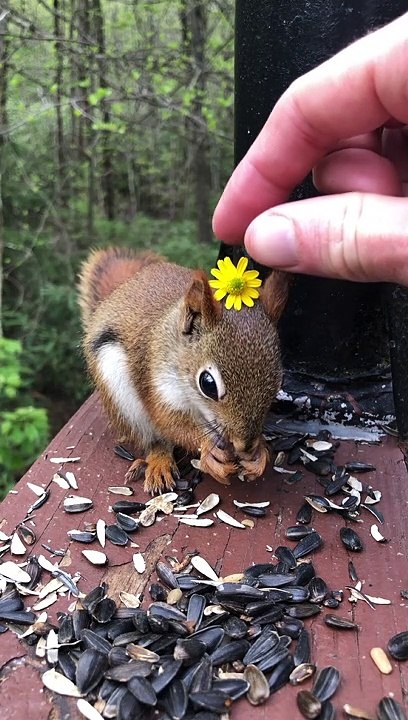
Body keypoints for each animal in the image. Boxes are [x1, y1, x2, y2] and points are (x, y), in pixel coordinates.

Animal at [78, 247, 288, 494]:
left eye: (277, 383)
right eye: (207, 384)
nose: (244, 446)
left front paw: (259, 453)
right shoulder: (157, 383)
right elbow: (171, 423)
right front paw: (208, 449)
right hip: (119, 395)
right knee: (153, 439)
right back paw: (159, 462)